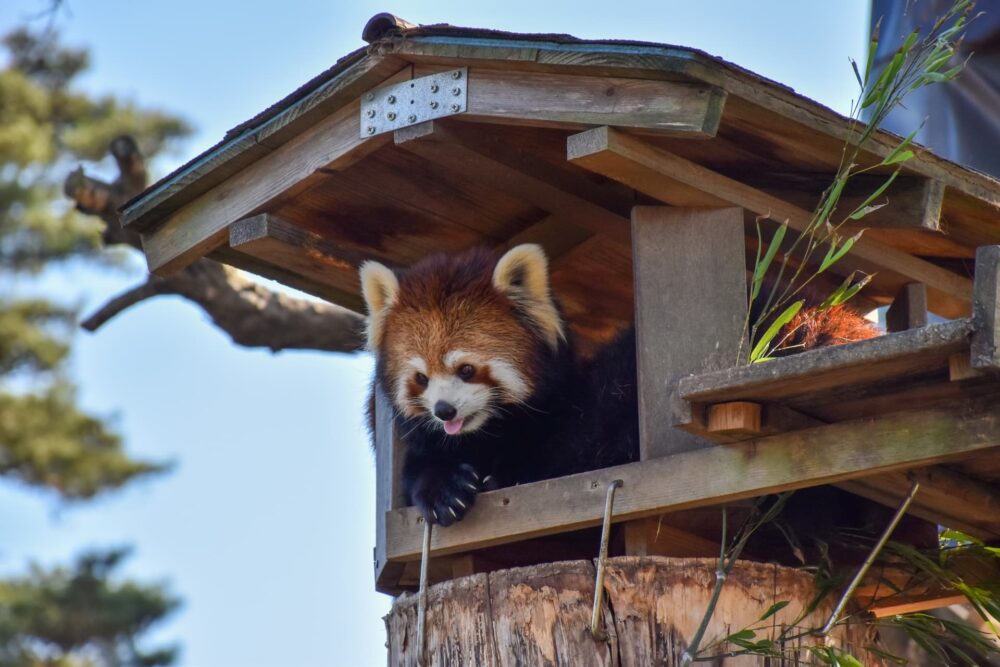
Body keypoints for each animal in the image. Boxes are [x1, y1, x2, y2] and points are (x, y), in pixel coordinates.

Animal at [360, 244, 876, 528]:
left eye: (467, 369)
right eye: (421, 378)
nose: (444, 411)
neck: (490, 434)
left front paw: (491, 479)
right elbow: (420, 466)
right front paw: (446, 491)